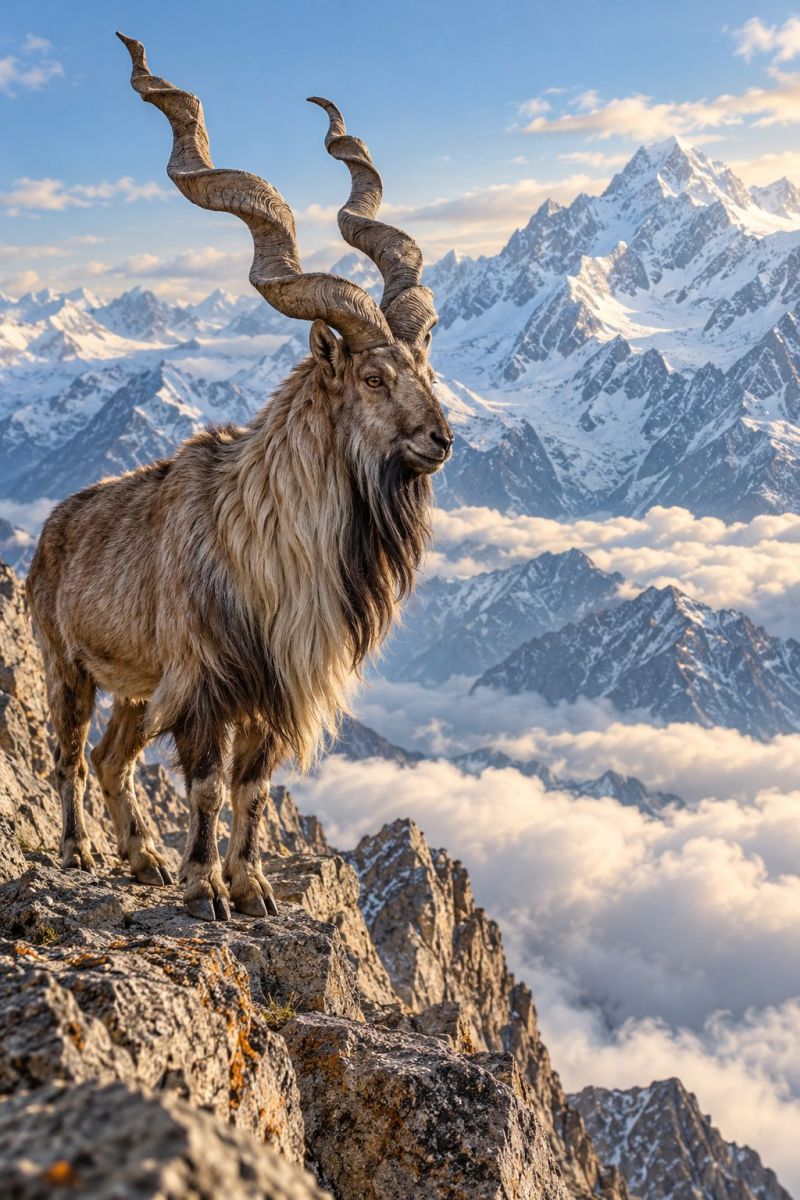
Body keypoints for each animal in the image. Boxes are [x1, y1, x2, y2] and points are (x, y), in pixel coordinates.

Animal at [26, 34, 452, 922]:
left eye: (427, 367)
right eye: (372, 378)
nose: (441, 440)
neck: (269, 538)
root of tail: (54, 525)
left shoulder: (274, 693)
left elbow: (253, 789)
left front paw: (250, 886)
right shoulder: (206, 683)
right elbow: (207, 786)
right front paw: (204, 888)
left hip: (138, 689)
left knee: (115, 758)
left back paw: (141, 859)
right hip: (66, 663)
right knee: (71, 756)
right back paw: (86, 850)